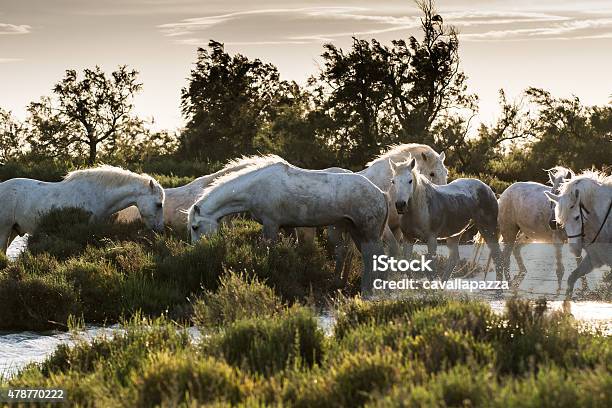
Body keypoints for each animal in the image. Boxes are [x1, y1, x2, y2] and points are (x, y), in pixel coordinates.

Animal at [186, 155, 388, 294]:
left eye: (195, 227)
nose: (198, 252)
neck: (255, 188)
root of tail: (381, 193)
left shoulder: (271, 225)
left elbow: (268, 251)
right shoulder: (287, 227)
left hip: (368, 233)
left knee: (374, 255)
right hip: (353, 231)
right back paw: (341, 283)